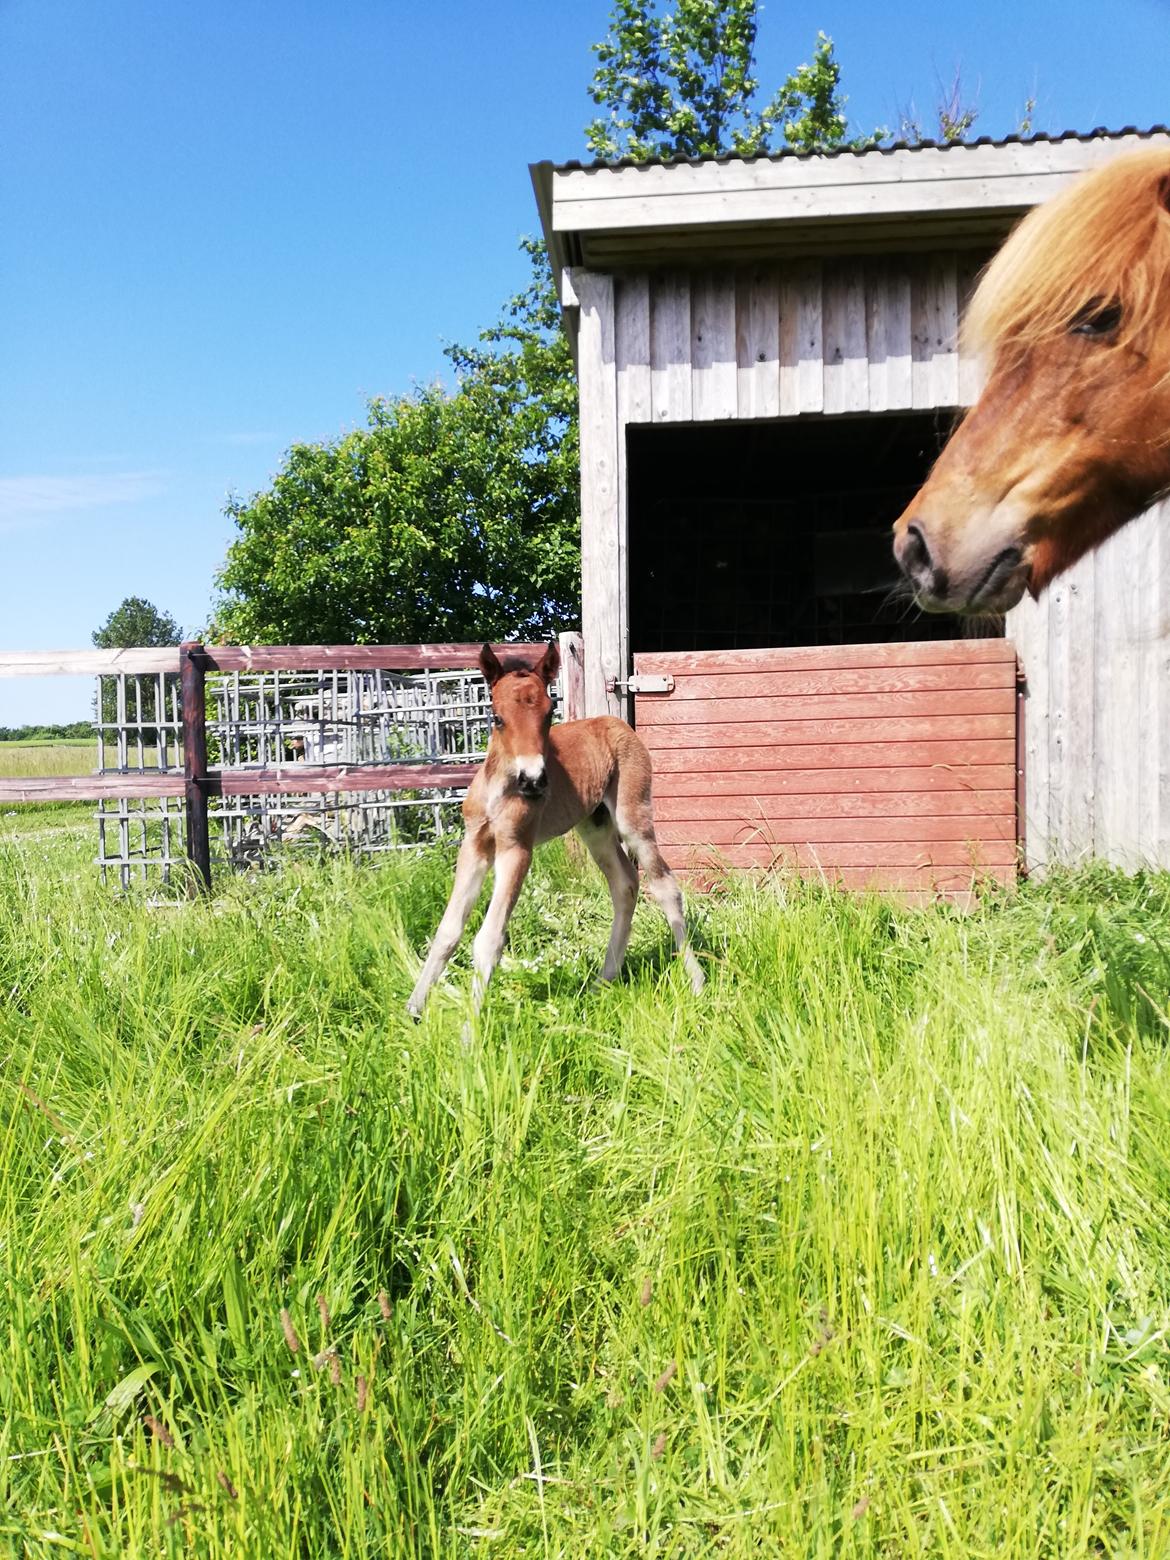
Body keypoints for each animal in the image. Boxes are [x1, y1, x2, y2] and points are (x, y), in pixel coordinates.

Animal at [408, 639, 711, 1017]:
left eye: (549, 713)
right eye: (497, 717)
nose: (534, 780)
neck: (500, 789)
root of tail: (615, 723)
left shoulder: (516, 848)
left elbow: (490, 938)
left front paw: (472, 1026)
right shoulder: (475, 845)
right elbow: (448, 929)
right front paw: (414, 1010)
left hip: (632, 816)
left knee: (665, 885)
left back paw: (696, 981)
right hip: (594, 826)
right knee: (625, 884)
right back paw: (602, 981)